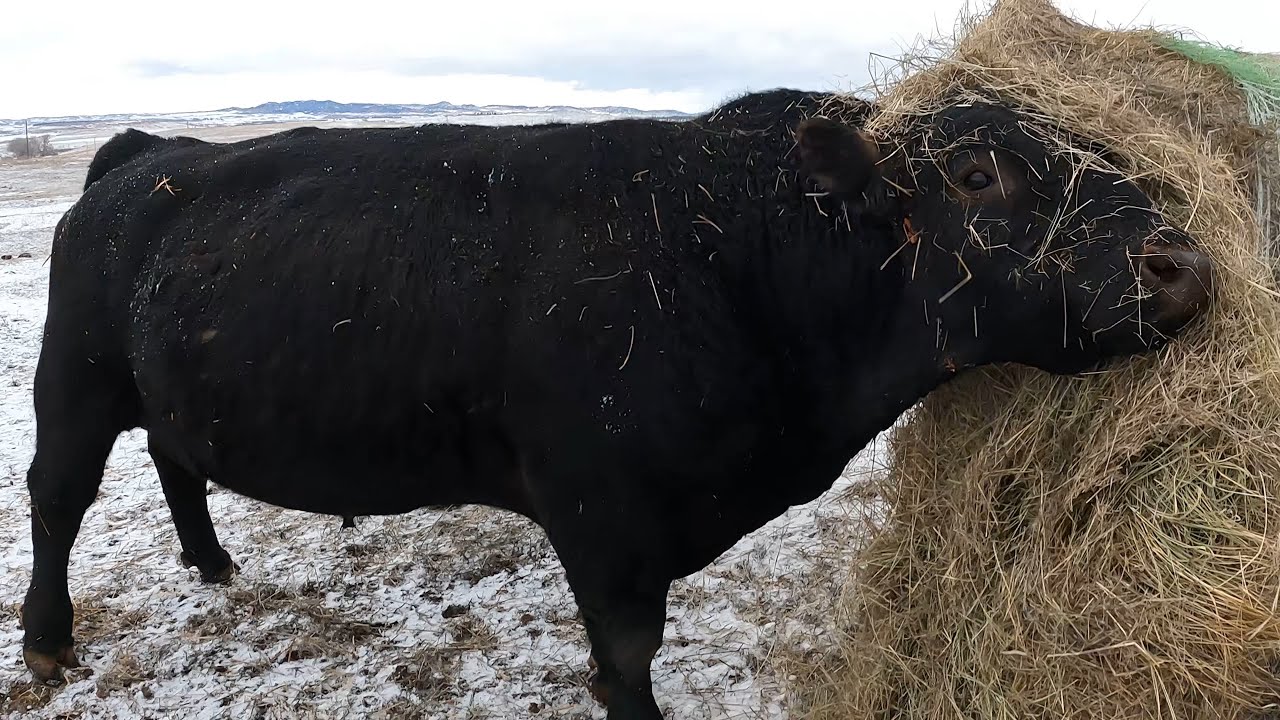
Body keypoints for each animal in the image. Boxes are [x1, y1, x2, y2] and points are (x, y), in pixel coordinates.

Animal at [21, 88, 1212, 719]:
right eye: (974, 176)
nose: (1182, 263)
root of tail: (150, 155)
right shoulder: (600, 516)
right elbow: (627, 655)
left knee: (175, 459)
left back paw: (212, 562)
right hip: (73, 383)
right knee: (56, 499)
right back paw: (46, 641)